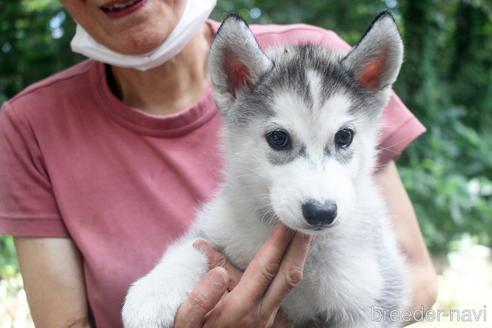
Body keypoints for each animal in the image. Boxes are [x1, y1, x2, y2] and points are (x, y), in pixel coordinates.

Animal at [124, 11, 412, 326]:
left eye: (344, 136)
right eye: (278, 138)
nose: (321, 212)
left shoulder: (372, 298)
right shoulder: (217, 227)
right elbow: (192, 247)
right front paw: (152, 293)